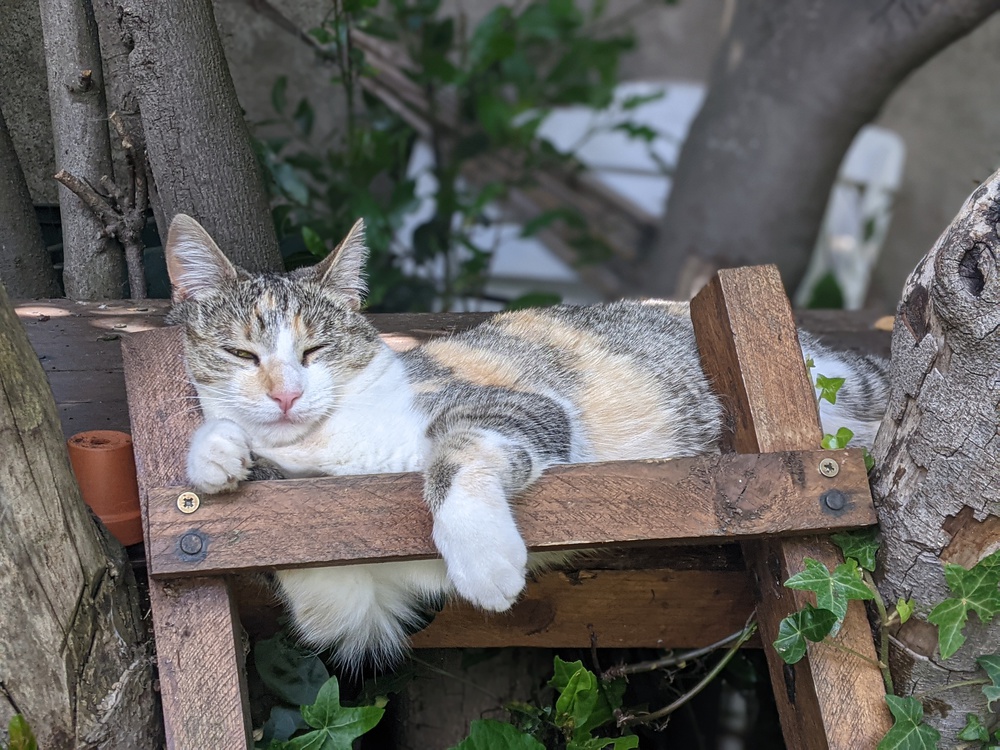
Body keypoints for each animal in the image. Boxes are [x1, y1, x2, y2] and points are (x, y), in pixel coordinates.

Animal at [166, 214, 892, 672]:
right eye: (240, 353)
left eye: (316, 350)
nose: (286, 394)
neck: (332, 451)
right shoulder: (356, 600)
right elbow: (318, 587)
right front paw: (218, 454)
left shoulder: (520, 404)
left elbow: (453, 450)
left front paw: (484, 559)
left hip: (839, 388)